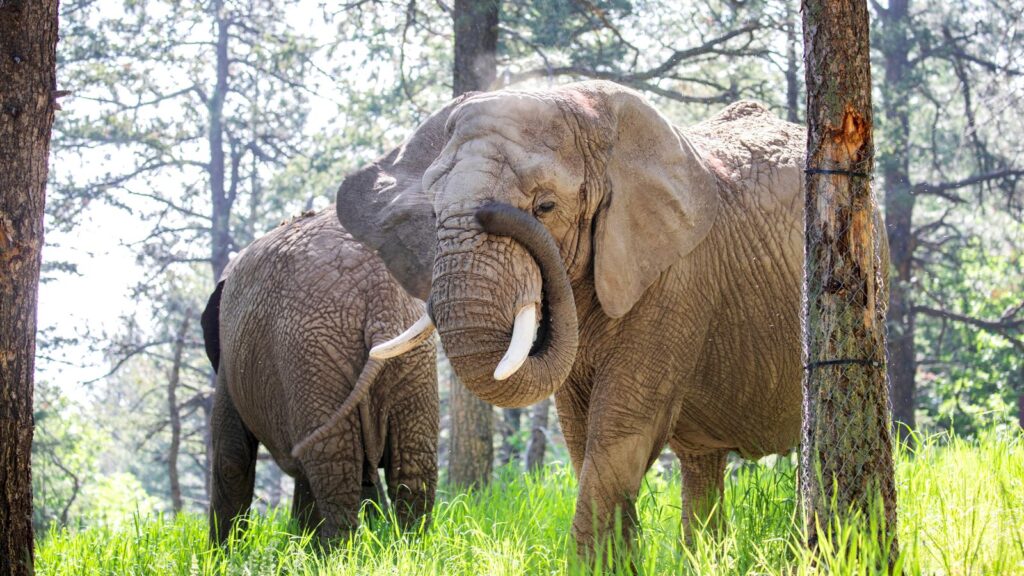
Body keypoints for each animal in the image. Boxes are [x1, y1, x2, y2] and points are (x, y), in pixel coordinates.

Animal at [201, 206, 438, 541]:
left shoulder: (229, 362)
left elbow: (231, 458)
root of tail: (379, 297)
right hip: (409, 359)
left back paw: (336, 551)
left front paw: (223, 554)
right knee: (412, 469)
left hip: (311, 355)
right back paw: (408, 546)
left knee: (334, 468)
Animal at [337, 78, 888, 553]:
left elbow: (620, 429)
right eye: (433, 215)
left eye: (545, 206)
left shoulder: (676, 278)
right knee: (701, 463)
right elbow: (580, 436)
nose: (493, 211)